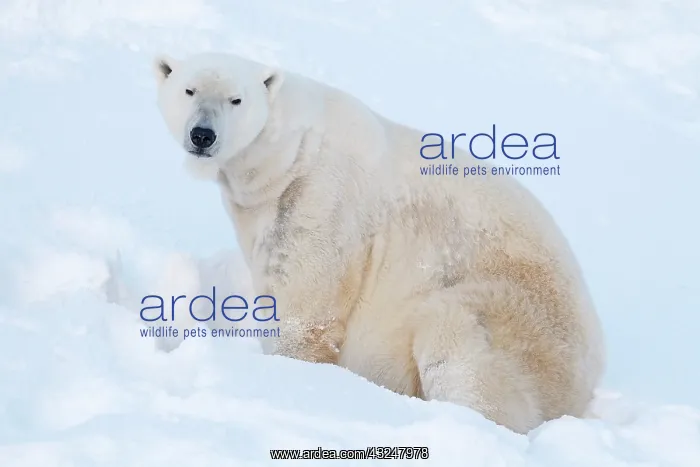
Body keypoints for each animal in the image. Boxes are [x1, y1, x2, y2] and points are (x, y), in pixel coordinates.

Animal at [151, 51, 606, 434]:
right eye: (189, 90)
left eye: (236, 99)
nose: (203, 135)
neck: (290, 152)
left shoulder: (322, 198)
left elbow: (307, 311)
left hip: (518, 316)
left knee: (460, 348)